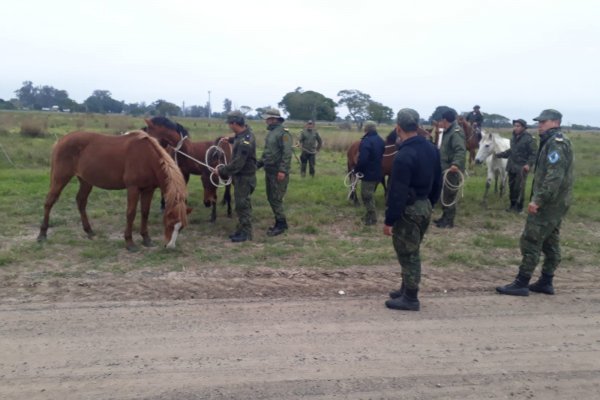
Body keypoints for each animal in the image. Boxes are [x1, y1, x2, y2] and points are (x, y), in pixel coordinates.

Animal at [38, 130, 188, 250]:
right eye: (169, 223)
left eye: (181, 228)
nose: (170, 246)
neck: (147, 157)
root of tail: (61, 140)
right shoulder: (133, 188)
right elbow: (131, 213)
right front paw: (129, 242)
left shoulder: (148, 190)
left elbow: (145, 213)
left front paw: (146, 239)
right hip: (60, 178)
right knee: (49, 202)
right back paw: (42, 234)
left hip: (86, 181)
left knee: (81, 201)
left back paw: (89, 231)